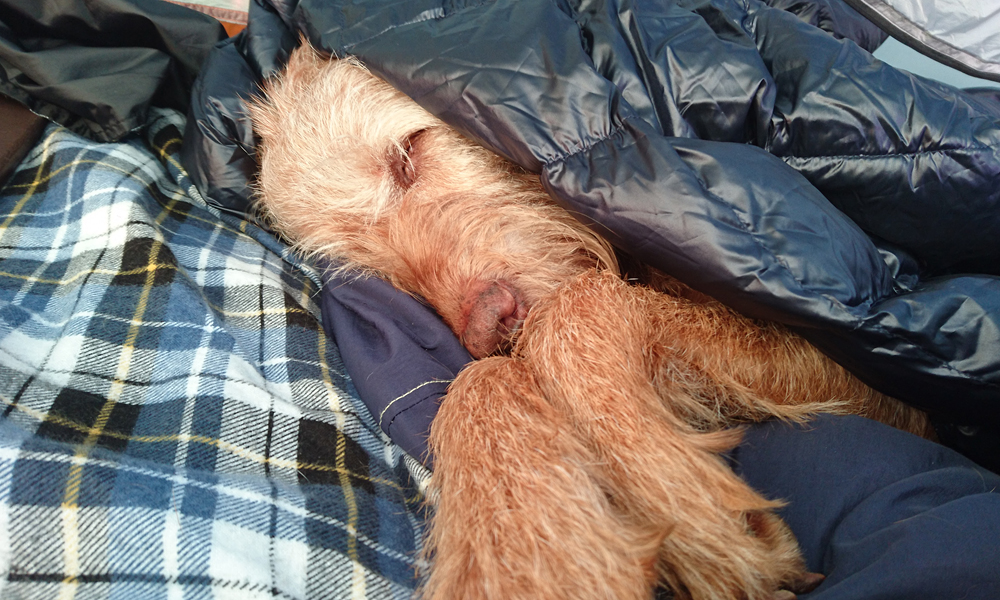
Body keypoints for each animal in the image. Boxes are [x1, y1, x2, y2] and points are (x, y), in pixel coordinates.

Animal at [248, 44, 933, 600]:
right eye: (379, 271)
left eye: (408, 155)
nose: (488, 327)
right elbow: (482, 382)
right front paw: (526, 558)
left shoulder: (862, 370)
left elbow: (575, 309)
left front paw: (685, 503)